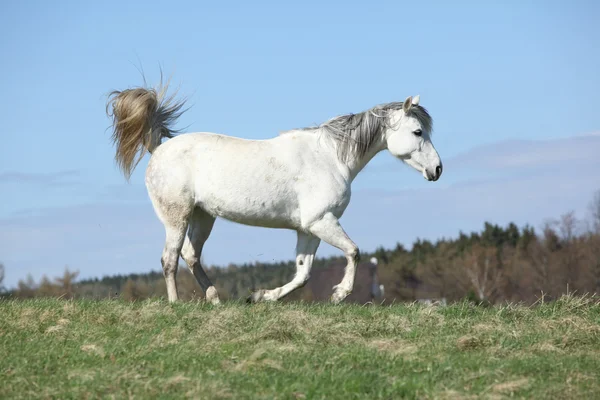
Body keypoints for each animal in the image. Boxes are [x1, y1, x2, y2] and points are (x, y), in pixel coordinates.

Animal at [105, 81, 440, 306]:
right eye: (418, 132)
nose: (437, 169)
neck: (330, 157)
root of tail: (159, 149)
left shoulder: (309, 229)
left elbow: (303, 274)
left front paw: (261, 296)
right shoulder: (322, 221)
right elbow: (354, 252)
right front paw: (339, 294)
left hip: (203, 217)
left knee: (190, 254)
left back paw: (215, 299)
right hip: (177, 217)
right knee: (170, 259)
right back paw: (176, 305)